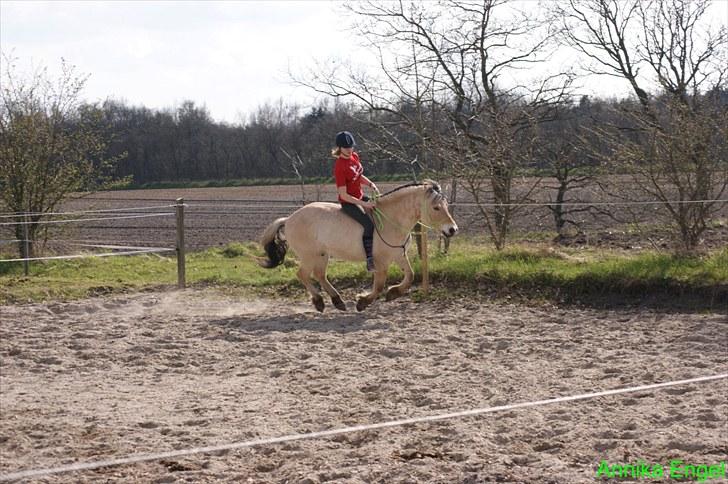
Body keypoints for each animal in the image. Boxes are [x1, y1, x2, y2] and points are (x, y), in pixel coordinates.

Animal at [258, 180, 458, 312]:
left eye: (446, 205)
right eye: (436, 207)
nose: (452, 229)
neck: (391, 219)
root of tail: (289, 219)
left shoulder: (398, 255)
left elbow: (410, 276)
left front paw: (393, 293)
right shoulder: (380, 261)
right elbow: (379, 285)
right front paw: (363, 302)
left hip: (322, 254)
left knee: (319, 275)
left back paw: (337, 301)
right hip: (309, 255)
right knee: (303, 274)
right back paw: (319, 302)